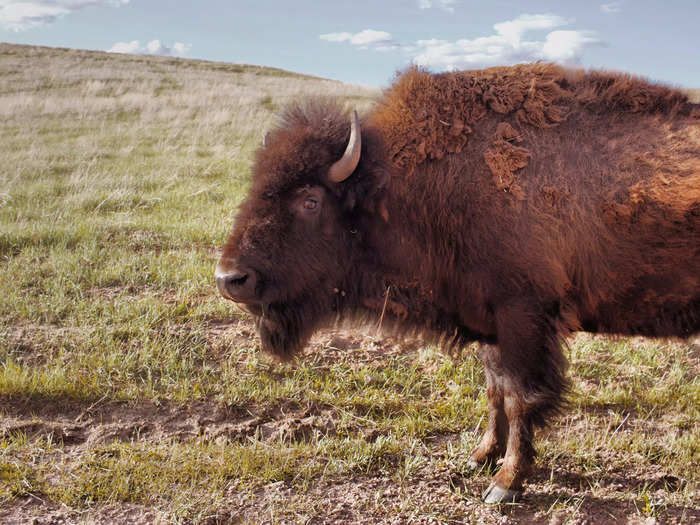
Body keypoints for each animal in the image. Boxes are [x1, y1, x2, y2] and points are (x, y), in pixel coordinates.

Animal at [216, 63, 696, 502]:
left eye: (310, 200)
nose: (230, 279)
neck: (395, 187)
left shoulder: (523, 315)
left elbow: (521, 397)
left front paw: (505, 484)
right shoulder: (491, 323)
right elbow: (495, 390)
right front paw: (480, 457)